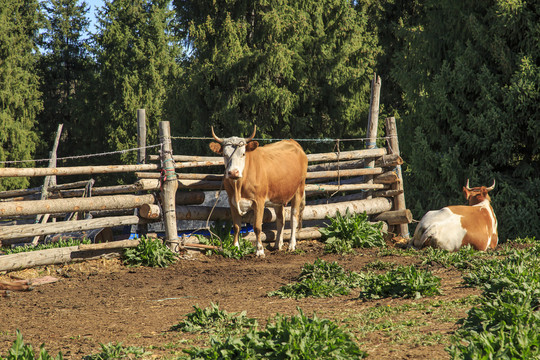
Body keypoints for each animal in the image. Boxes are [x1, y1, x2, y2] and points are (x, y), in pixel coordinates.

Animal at [209, 125, 308, 258]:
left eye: (243, 153)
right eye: (224, 154)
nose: (233, 172)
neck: (239, 185)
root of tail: (293, 142)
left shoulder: (259, 201)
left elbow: (257, 227)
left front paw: (260, 250)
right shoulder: (232, 202)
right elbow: (236, 227)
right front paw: (236, 247)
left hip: (298, 190)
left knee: (293, 218)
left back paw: (291, 245)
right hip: (278, 196)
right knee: (280, 220)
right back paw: (278, 244)